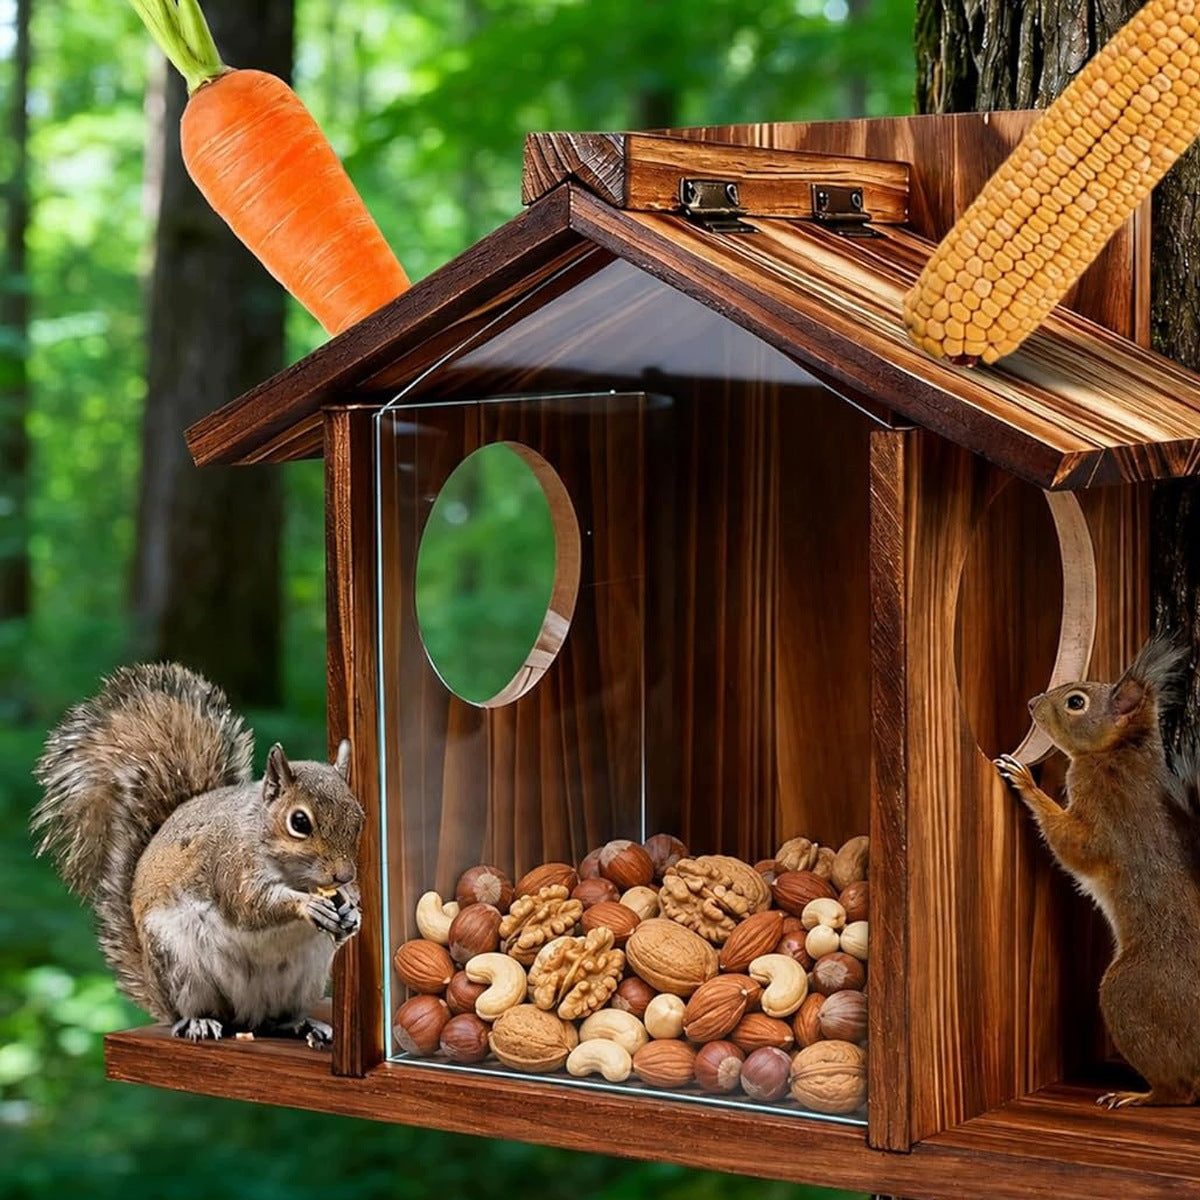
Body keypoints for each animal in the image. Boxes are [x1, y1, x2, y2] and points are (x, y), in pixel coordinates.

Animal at [31, 662, 364, 1047]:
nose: (343, 875)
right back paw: (199, 1022)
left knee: (277, 1018)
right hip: (180, 967)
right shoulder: (230, 864)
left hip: (303, 978)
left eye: (360, 817)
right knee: (198, 1009)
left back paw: (302, 1024)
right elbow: (250, 905)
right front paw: (308, 905)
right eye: (299, 822)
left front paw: (353, 912)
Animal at [995, 632, 1200, 1108]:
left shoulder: (1105, 813)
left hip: (1127, 994)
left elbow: (1078, 847)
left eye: (1075, 702)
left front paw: (1026, 782)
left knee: (1182, 1091)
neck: (1119, 752)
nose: (1032, 702)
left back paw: (1139, 1096)